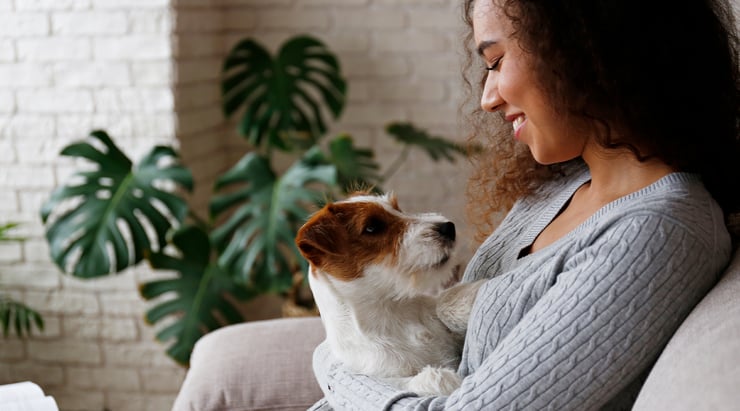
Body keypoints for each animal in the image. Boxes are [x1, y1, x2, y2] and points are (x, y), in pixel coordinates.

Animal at [294, 193, 486, 396]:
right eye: (372, 227)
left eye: (398, 210)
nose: (448, 227)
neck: (392, 311)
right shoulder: (385, 376)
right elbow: (420, 381)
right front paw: (450, 381)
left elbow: (441, 303)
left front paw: (473, 295)